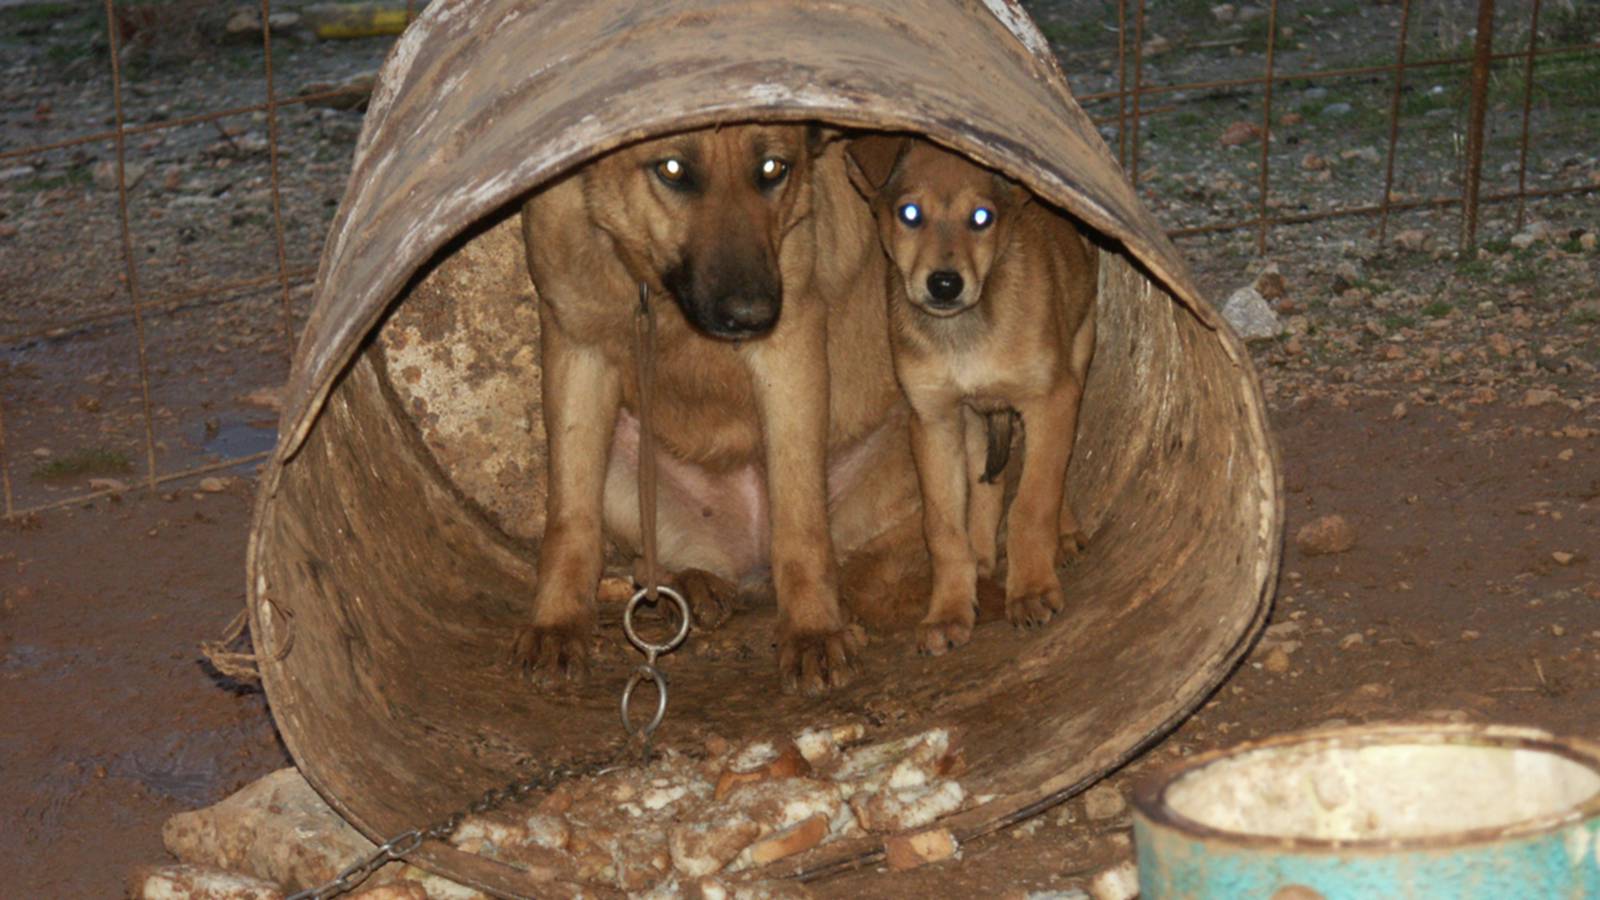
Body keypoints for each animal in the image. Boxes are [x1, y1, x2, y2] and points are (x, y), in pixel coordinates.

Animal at [515, 122, 915, 688]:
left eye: (773, 168)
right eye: (673, 169)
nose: (753, 315)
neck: (653, 291)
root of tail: (747, 557)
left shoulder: (790, 354)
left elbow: (800, 523)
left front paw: (814, 629)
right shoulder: (577, 351)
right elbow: (571, 520)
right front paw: (557, 622)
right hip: (625, 459)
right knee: (651, 563)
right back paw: (694, 585)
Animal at [851, 134, 1100, 650]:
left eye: (981, 218)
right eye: (910, 214)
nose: (945, 284)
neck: (964, 336)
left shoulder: (1051, 400)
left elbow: (1033, 503)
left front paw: (1031, 589)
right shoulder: (934, 420)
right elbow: (944, 528)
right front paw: (948, 610)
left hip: (1078, 356)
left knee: (1051, 475)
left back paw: (1064, 535)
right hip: (976, 420)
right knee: (990, 485)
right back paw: (984, 560)